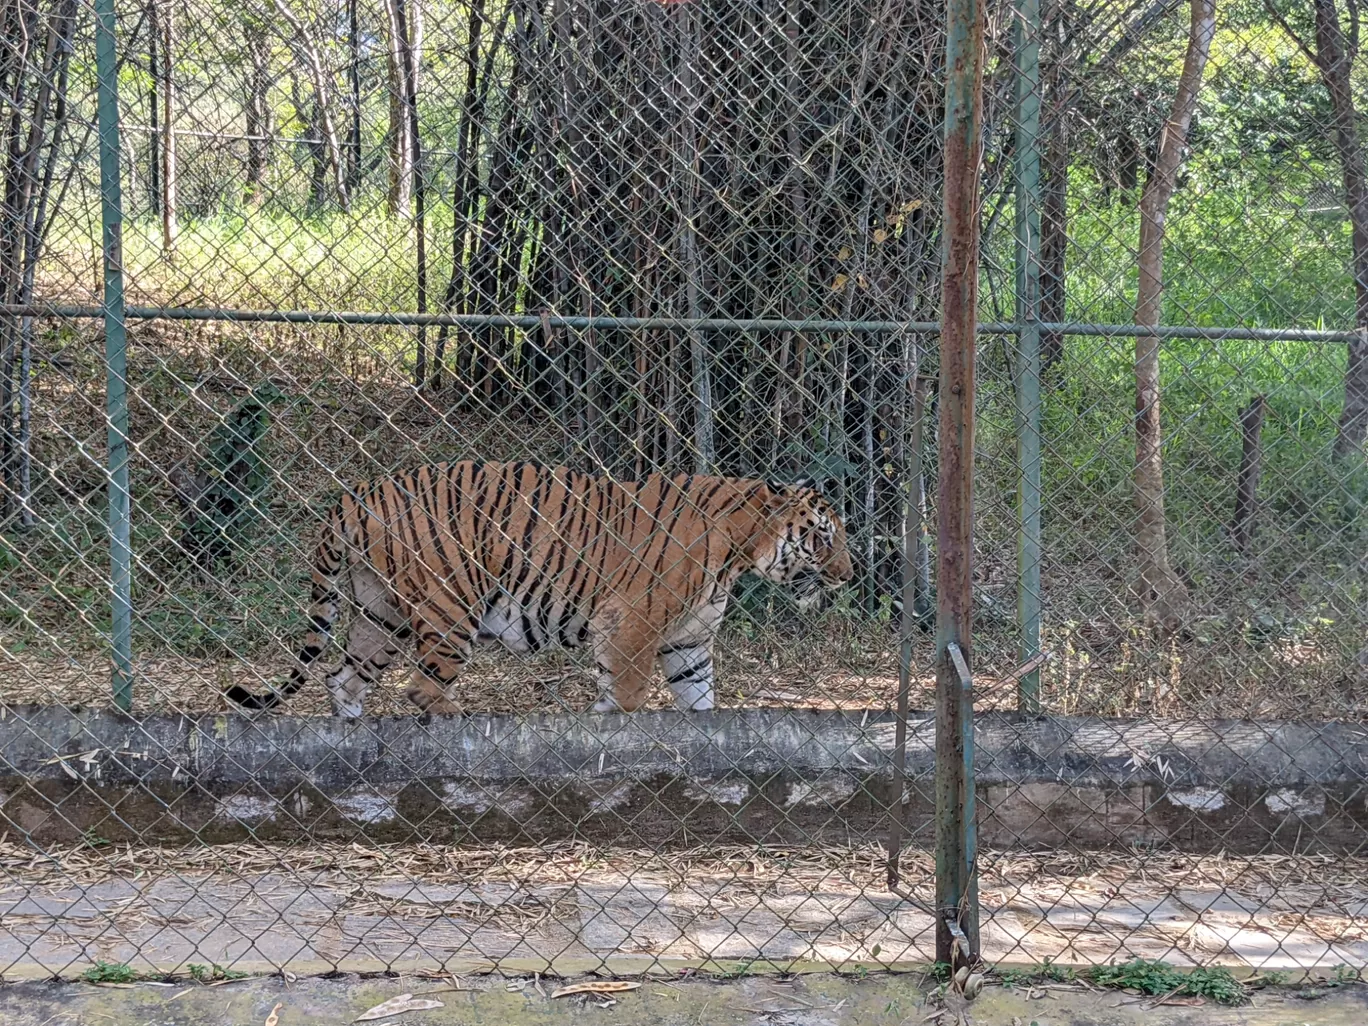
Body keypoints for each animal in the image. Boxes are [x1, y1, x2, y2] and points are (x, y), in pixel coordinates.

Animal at [222, 462, 848, 716]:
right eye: (822, 536)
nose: (848, 575)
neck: (740, 551)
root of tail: (354, 496)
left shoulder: (687, 642)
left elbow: (702, 704)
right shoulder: (632, 626)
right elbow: (626, 697)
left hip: (382, 614)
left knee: (342, 679)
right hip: (450, 605)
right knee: (421, 689)